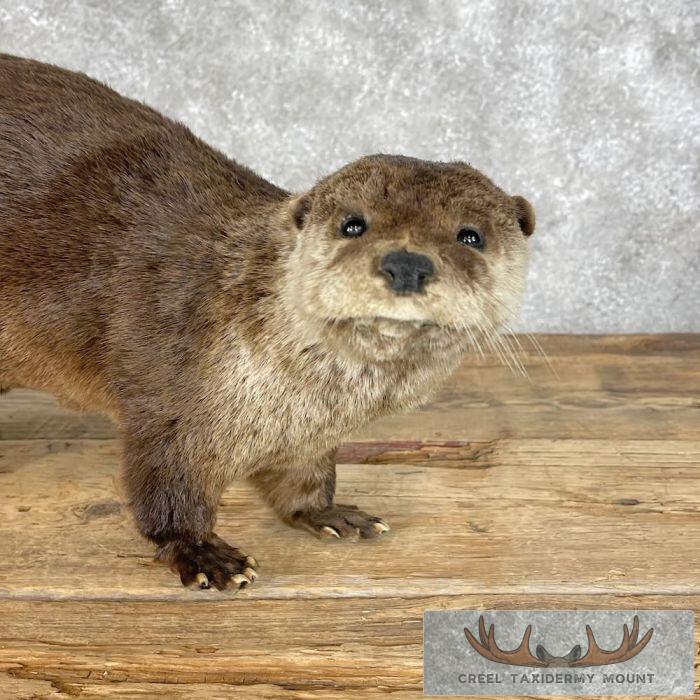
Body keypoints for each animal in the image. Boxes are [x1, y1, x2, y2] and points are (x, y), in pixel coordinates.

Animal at [0, 55, 535, 590]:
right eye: (353, 224)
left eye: (471, 236)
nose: (407, 263)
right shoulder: (164, 404)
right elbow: (166, 493)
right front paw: (204, 554)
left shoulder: (309, 439)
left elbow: (302, 481)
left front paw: (330, 513)